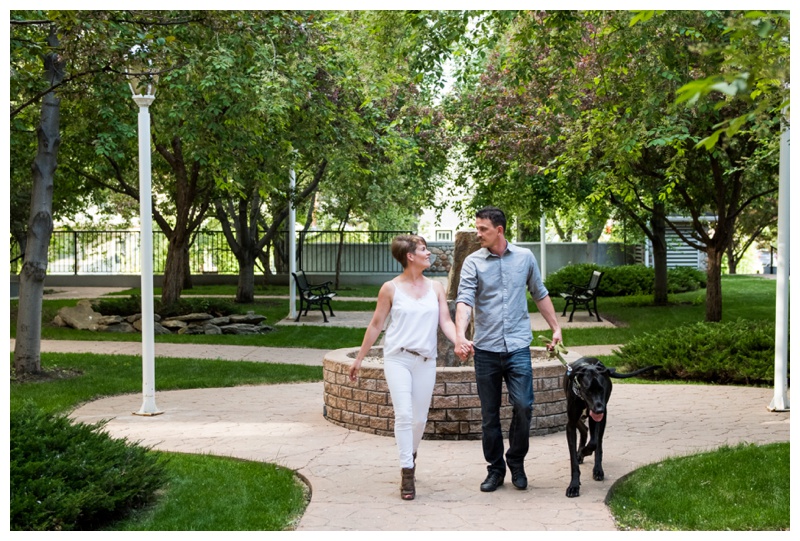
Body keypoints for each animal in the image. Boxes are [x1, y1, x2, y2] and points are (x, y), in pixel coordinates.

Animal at [564, 356, 656, 496]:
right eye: (588, 390)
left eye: (601, 389)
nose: (599, 409)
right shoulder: (571, 423)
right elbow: (573, 459)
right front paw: (574, 485)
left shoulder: (597, 418)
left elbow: (594, 443)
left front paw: (585, 451)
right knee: (584, 429)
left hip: (602, 419)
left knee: (598, 442)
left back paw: (597, 469)